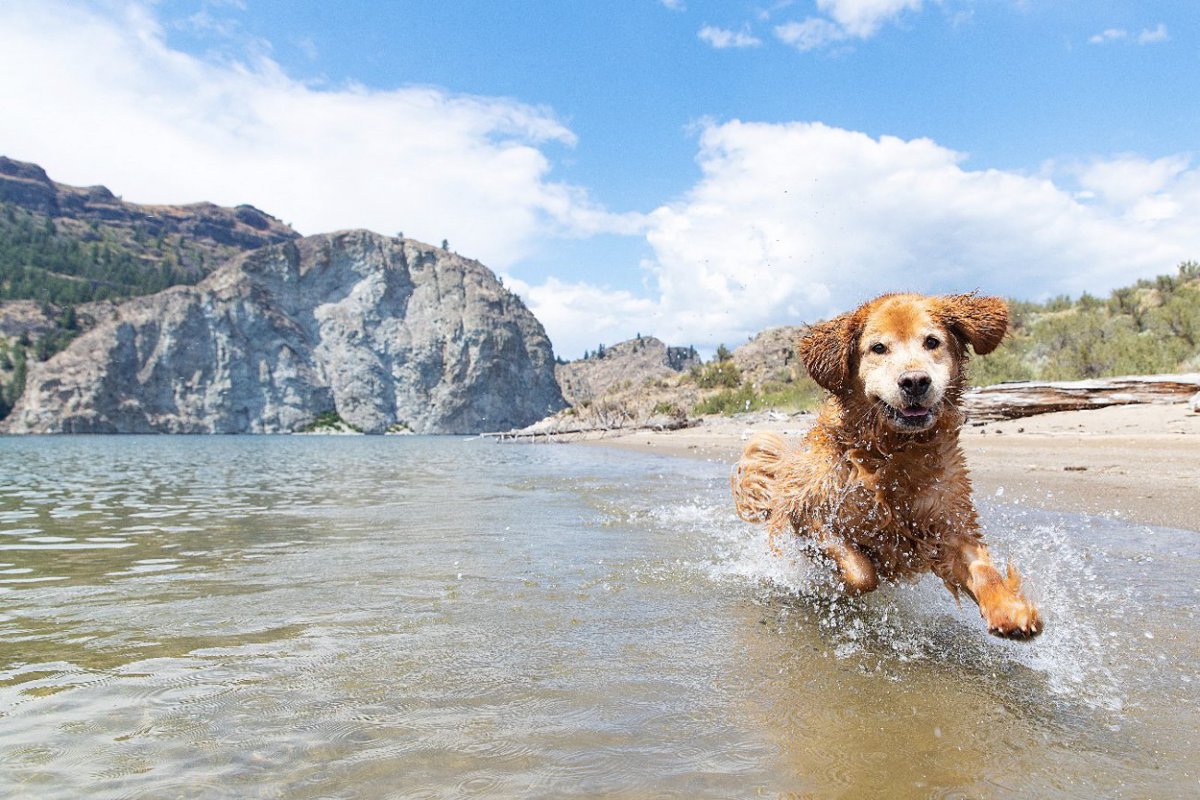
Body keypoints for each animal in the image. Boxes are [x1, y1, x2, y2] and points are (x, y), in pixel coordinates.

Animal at [724, 292, 1046, 638]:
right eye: (878, 348)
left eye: (932, 342)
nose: (915, 382)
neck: (895, 452)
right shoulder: (811, 512)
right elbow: (861, 573)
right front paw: (838, 584)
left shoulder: (949, 519)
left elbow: (981, 568)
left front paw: (1008, 609)